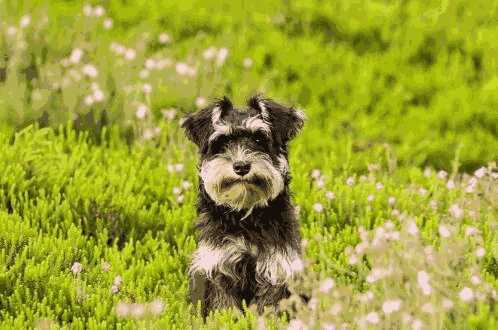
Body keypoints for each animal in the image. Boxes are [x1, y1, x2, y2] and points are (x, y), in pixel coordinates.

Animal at [182, 94, 306, 316]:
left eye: (258, 138)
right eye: (222, 141)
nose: (241, 166)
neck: (245, 216)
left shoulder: (275, 269)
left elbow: (269, 308)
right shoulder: (219, 268)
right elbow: (225, 307)